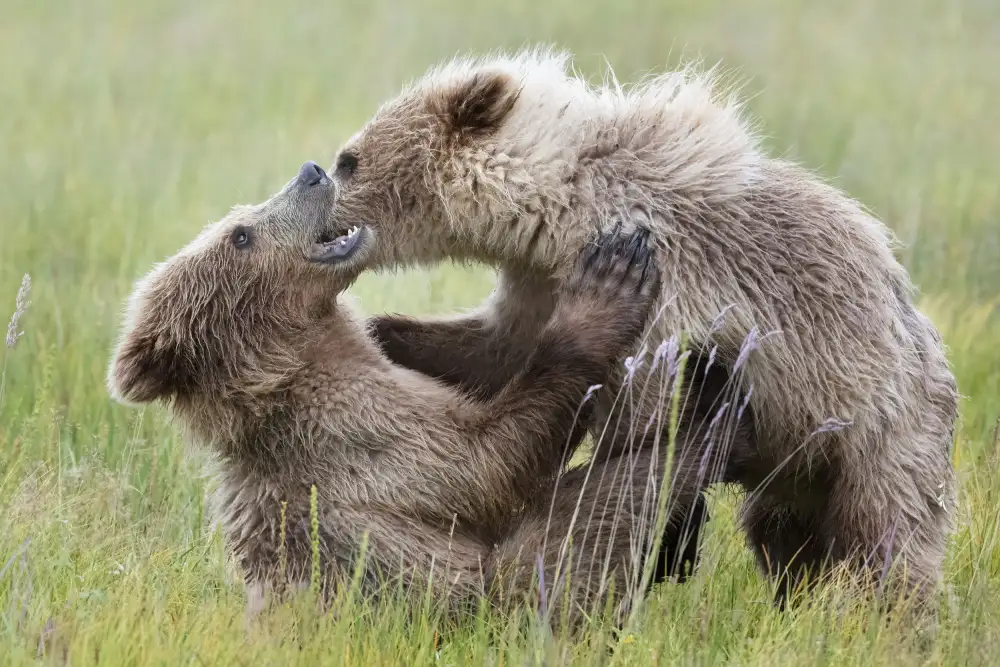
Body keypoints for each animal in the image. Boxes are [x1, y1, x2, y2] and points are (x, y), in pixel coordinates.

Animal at [105, 159, 726, 632]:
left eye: (238, 220)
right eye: (240, 235)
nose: (311, 173)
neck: (297, 364)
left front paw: (395, 330)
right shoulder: (354, 433)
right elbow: (483, 465)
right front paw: (608, 280)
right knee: (615, 494)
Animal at [317, 47, 960, 609]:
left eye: (350, 160)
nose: (317, 196)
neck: (558, 210)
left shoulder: (664, 284)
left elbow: (640, 420)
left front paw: (663, 537)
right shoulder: (538, 278)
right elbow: (500, 348)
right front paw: (384, 335)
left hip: (884, 426)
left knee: (888, 540)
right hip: (803, 461)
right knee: (785, 536)